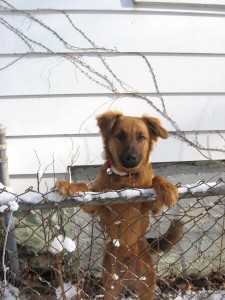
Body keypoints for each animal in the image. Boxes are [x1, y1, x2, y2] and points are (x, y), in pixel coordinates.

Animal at [56, 112, 183, 300]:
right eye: (120, 136)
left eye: (141, 137)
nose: (131, 158)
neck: (125, 178)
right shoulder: (95, 204)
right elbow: (84, 187)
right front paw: (70, 186)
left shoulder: (151, 205)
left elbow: (156, 179)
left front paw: (167, 188)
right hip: (111, 286)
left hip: (147, 287)